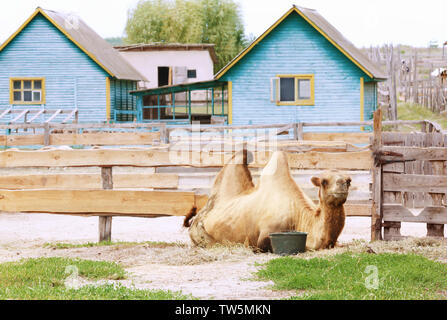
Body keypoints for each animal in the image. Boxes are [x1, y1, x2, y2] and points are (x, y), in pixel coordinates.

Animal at [184, 150, 352, 252]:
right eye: (324, 181)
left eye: (349, 180)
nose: (342, 183)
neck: (298, 215)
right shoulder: (266, 234)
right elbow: (261, 245)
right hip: (200, 235)